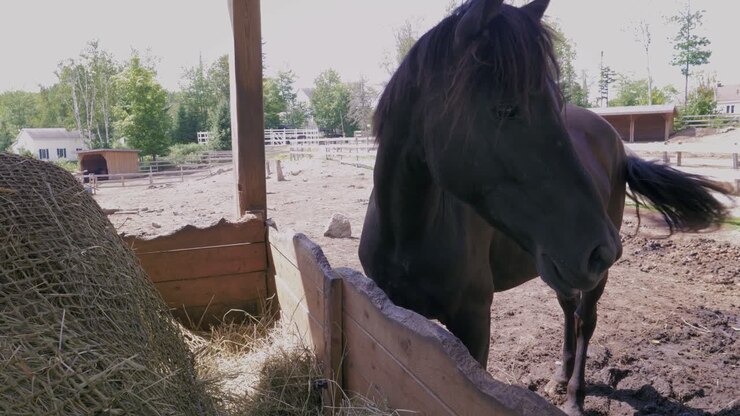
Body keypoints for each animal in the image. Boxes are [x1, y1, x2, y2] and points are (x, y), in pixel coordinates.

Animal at [358, 1, 732, 415]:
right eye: (505, 109)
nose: (603, 249)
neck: (408, 233)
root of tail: (614, 139)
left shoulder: (474, 322)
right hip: (560, 268)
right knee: (568, 309)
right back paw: (559, 377)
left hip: (589, 276)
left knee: (585, 320)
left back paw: (574, 396)